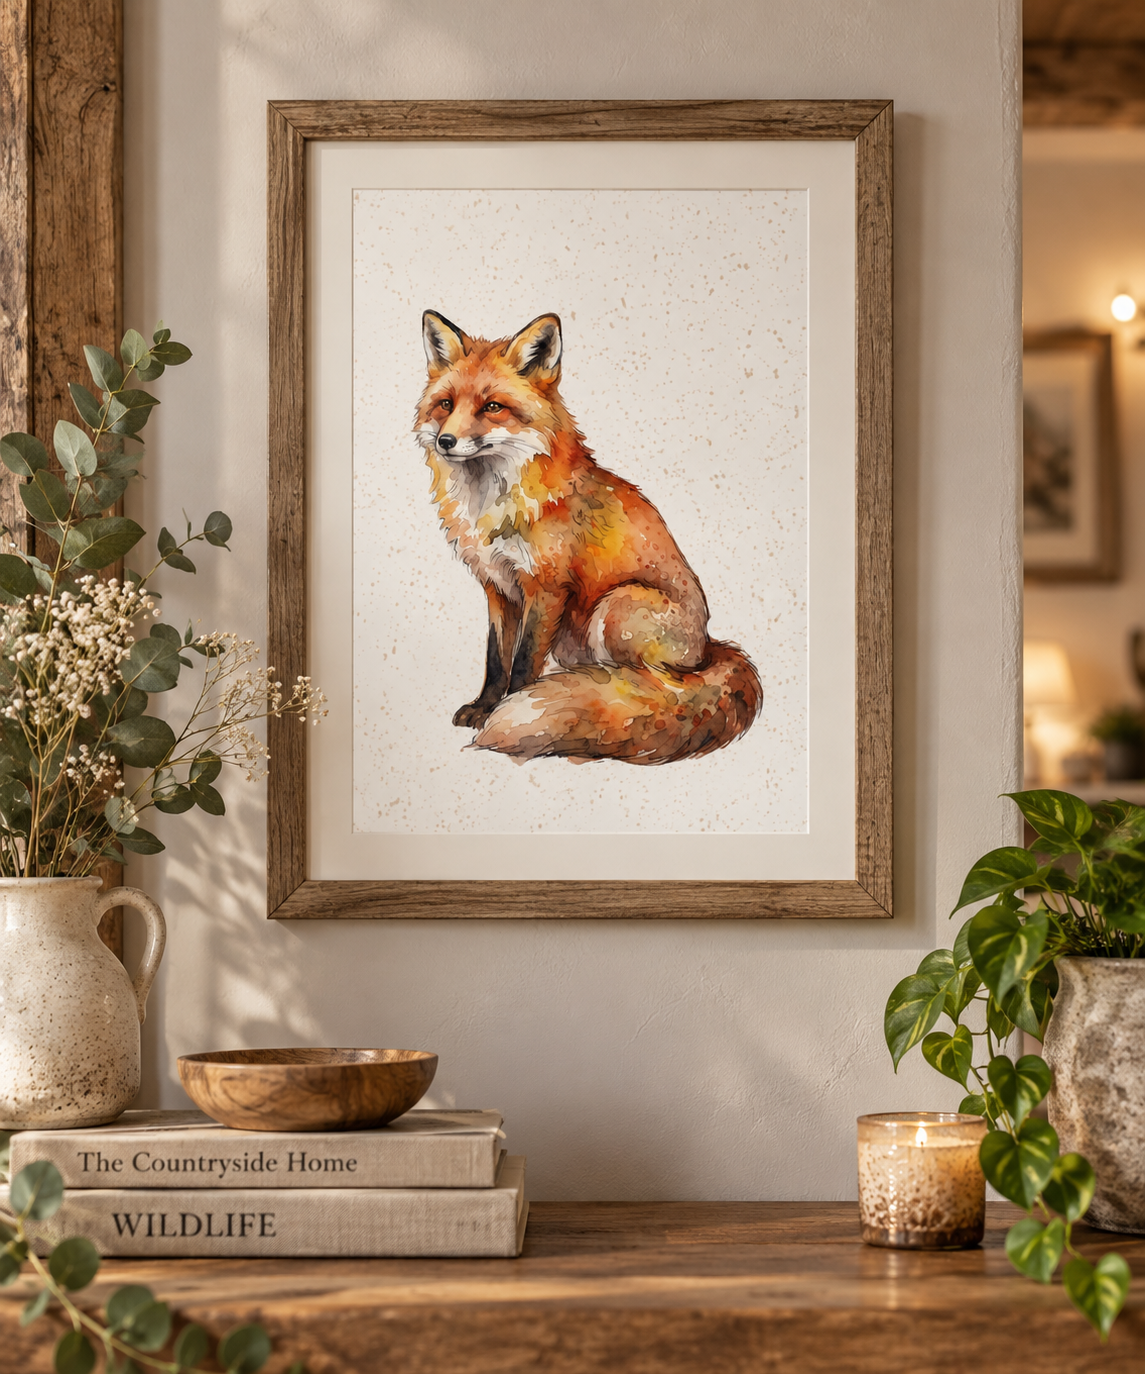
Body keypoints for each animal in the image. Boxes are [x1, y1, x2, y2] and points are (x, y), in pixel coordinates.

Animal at [414, 310, 762, 765]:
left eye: (492, 407)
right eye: (446, 404)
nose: (446, 441)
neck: (491, 504)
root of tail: (709, 649)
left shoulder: (546, 588)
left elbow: (522, 662)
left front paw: (510, 707)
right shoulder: (498, 587)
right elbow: (495, 658)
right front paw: (484, 707)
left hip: (617, 606)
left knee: (654, 687)